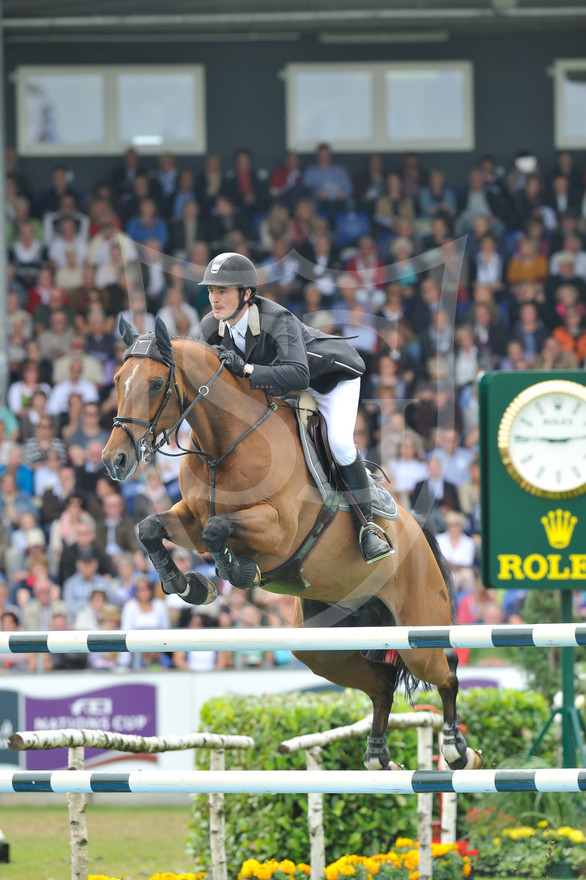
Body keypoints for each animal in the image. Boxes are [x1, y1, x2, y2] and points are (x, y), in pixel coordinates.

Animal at [102, 318, 482, 768]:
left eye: (157, 383)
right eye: (118, 379)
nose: (114, 461)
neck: (223, 445)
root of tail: (419, 532)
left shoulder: (278, 531)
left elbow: (219, 529)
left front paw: (236, 571)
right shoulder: (189, 522)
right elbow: (151, 528)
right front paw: (189, 586)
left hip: (417, 631)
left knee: (448, 670)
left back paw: (457, 750)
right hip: (324, 645)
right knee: (382, 683)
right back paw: (378, 755)